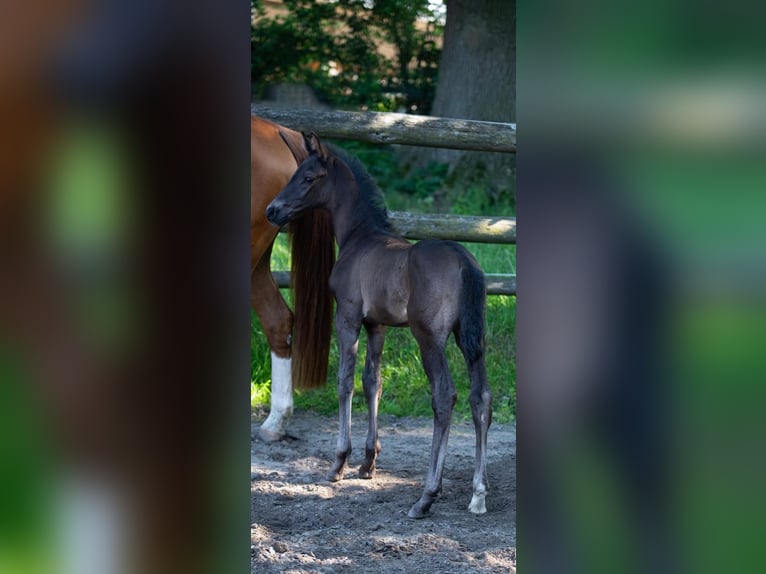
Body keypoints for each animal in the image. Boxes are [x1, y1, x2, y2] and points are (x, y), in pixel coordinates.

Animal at [266, 133, 492, 520]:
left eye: (308, 177)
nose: (272, 210)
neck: (359, 237)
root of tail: (464, 261)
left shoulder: (348, 316)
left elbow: (345, 380)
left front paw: (339, 463)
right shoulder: (377, 325)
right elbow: (373, 381)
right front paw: (368, 463)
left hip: (429, 338)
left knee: (444, 396)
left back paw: (426, 496)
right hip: (470, 339)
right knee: (481, 398)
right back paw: (477, 494)